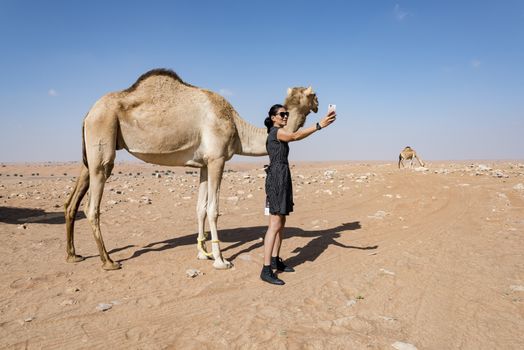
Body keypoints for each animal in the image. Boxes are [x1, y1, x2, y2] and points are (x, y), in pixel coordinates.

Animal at [65, 67, 320, 270]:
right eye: (314, 95)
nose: (319, 105)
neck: (238, 128)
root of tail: (88, 113)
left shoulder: (204, 164)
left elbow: (200, 208)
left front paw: (202, 253)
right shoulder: (217, 159)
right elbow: (213, 209)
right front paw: (220, 260)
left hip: (91, 153)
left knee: (73, 202)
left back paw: (73, 255)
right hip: (102, 133)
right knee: (92, 206)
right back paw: (108, 261)